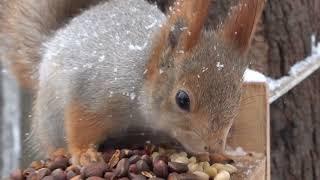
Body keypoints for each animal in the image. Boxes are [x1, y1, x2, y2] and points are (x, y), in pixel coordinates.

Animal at [0, 0, 264, 165]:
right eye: (182, 99)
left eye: (238, 96)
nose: (213, 147)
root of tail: (51, 42)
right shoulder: (95, 94)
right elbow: (80, 124)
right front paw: (84, 154)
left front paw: (220, 157)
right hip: (50, 118)